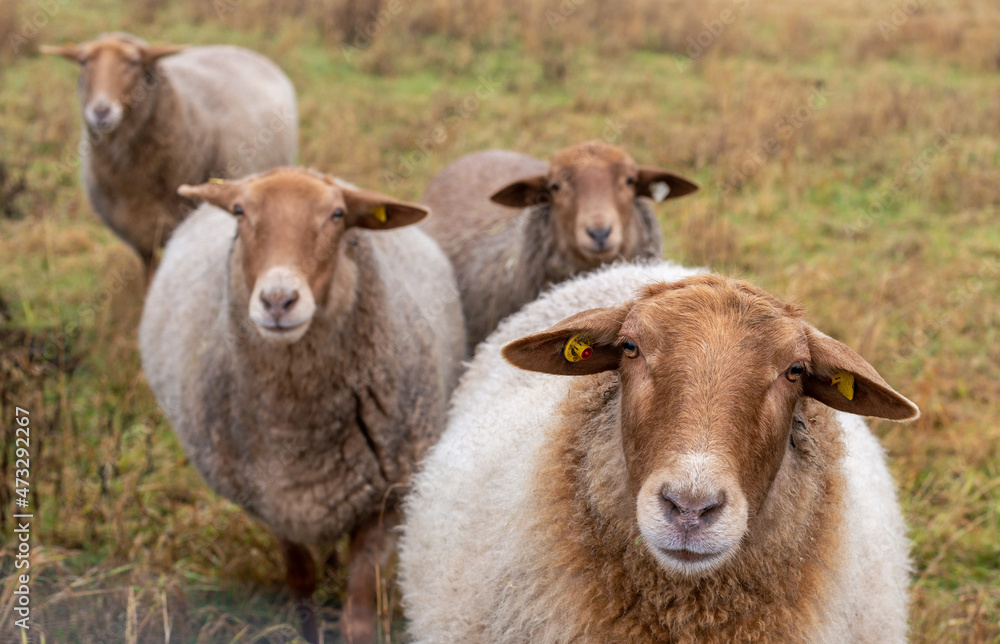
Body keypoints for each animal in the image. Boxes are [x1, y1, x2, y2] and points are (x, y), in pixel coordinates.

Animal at [138, 167, 465, 644]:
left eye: (337, 214)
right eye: (240, 211)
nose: (278, 301)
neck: (300, 430)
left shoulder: (384, 502)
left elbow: (358, 613)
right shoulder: (276, 506)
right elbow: (301, 586)